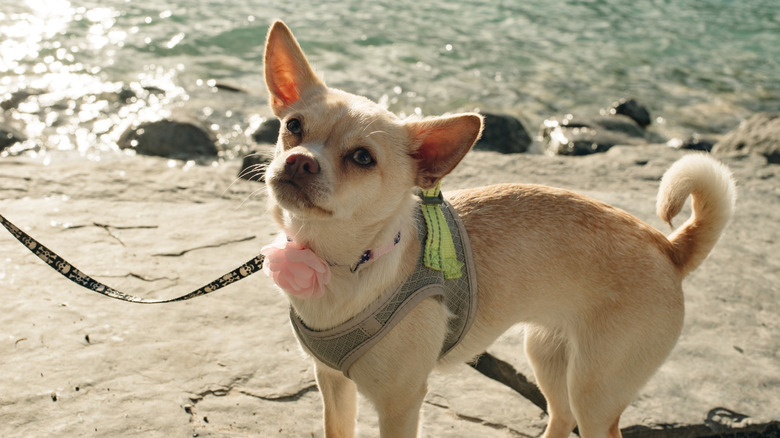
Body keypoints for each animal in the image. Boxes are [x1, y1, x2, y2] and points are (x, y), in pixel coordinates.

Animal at [258, 20, 736, 438]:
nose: (299, 160)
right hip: (548, 356)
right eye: (292, 127)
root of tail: (670, 247)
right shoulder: (333, 383)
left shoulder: (400, 405)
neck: (337, 261)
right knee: (561, 417)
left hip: (596, 390)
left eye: (362, 158)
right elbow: (335, 428)